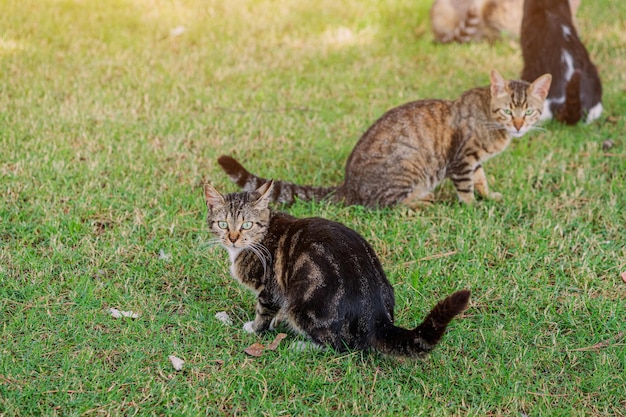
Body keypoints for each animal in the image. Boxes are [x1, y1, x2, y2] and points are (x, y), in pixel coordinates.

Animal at [204, 180, 468, 356]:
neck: (263, 234)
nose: (233, 238)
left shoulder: (270, 287)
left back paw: (302, 344)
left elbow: (264, 309)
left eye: (247, 224)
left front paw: (254, 328)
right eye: (223, 224)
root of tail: (378, 320)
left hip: (303, 299)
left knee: (337, 345)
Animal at [217, 71, 548, 210]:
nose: (519, 125)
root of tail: (348, 185)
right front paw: (472, 207)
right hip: (407, 168)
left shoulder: (474, 161)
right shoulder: (462, 159)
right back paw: (420, 203)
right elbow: (466, 188)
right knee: (388, 205)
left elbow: (481, 179)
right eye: (508, 111)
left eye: (529, 111)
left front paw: (489, 196)